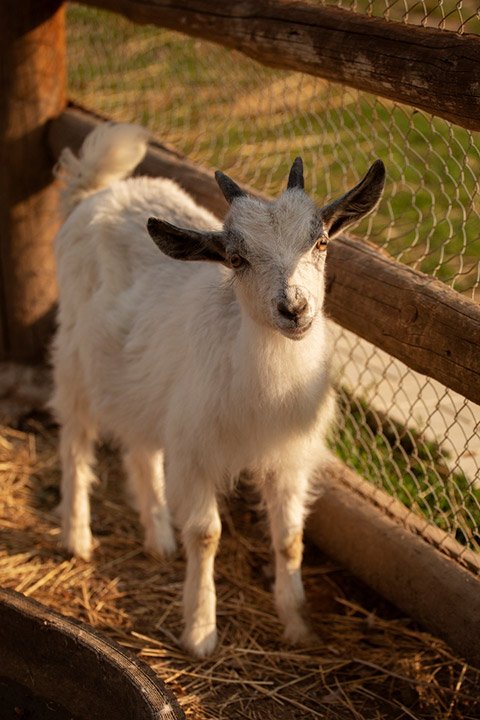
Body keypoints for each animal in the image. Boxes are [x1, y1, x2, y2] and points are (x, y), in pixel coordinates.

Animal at [50, 124, 384, 660]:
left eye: (320, 243)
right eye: (236, 258)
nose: (294, 309)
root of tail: (95, 190)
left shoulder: (287, 457)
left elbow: (290, 539)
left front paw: (298, 625)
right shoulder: (196, 452)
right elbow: (207, 535)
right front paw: (202, 631)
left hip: (142, 379)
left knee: (140, 447)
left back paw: (159, 536)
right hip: (74, 359)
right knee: (75, 441)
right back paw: (76, 536)